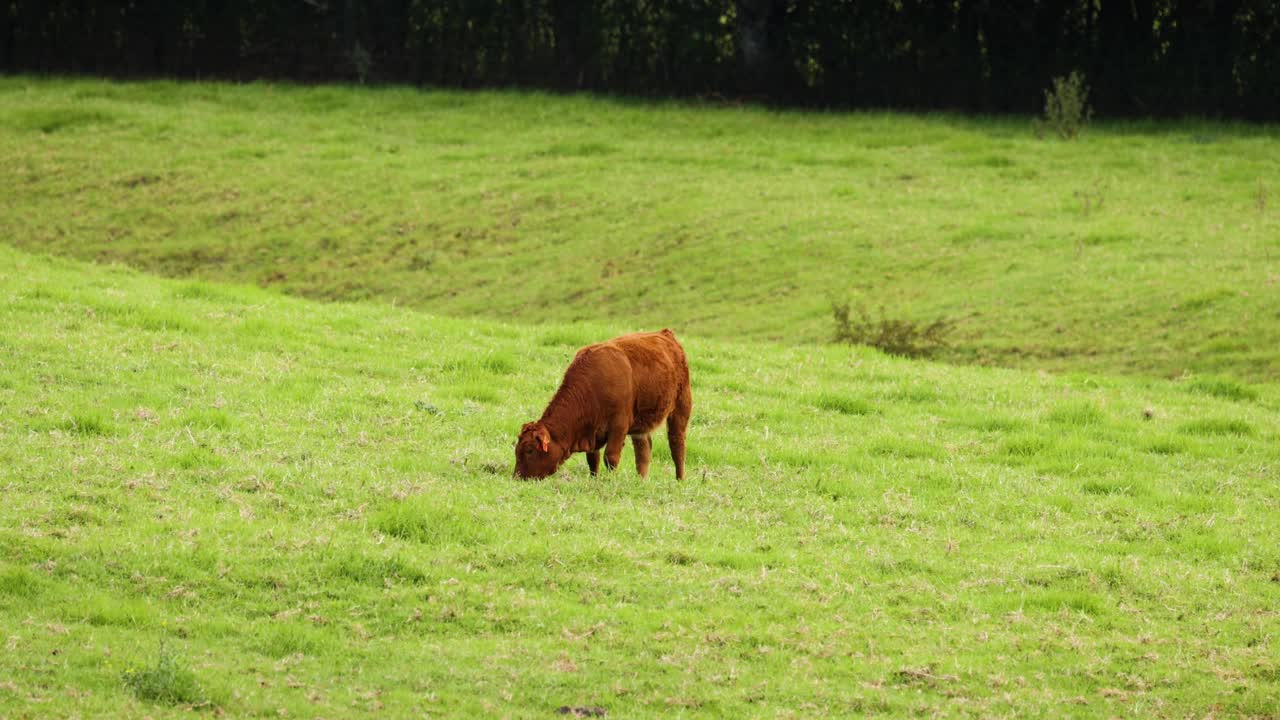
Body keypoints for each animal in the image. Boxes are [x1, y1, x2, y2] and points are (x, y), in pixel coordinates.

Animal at [512, 330, 696, 476]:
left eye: (529, 450)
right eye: (517, 450)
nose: (517, 477)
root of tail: (665, 334)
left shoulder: (619, 425)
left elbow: (611, 457)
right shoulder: (593, 433)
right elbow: (593, 459)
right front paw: (595, 480)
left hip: (681, 406)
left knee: (677, 445)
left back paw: (680, 480)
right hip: (642, 425)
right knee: (643, 452)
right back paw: (641, 481)